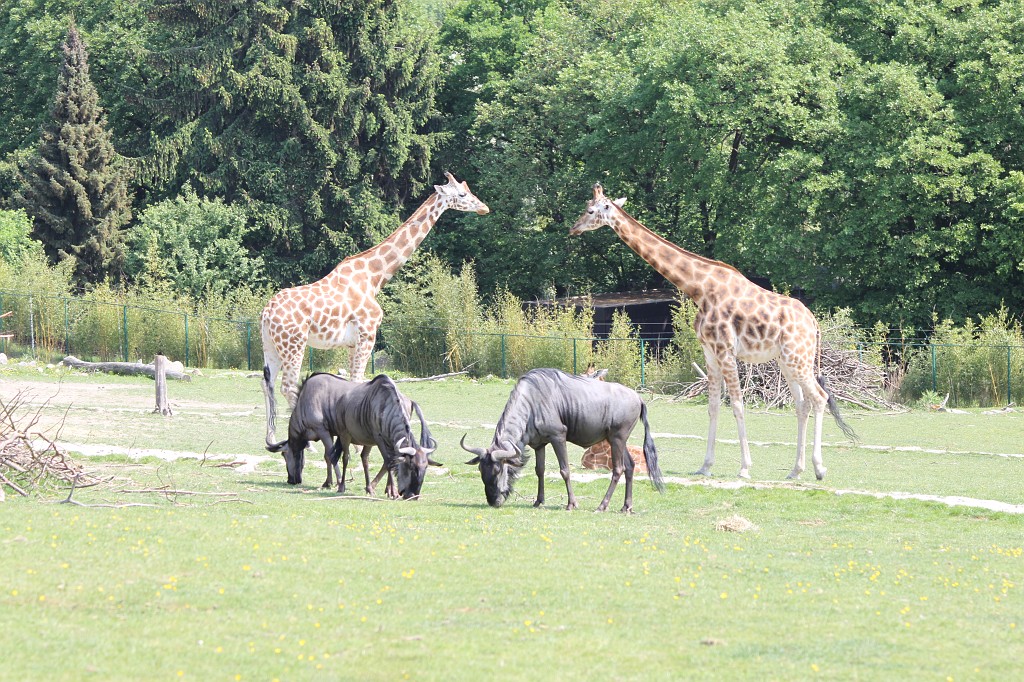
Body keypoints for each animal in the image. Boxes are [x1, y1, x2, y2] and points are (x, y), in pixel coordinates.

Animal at [260, 173, 489, 440]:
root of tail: (266, 313)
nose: (484, 207)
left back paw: (271, 438)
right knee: (288, 386)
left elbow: (351, 382)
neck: (374, 278)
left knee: (268, 383)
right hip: (294, 344)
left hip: (271, 346)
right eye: (462, 194)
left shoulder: (352, 342)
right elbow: (359, 381)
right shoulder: (368, 333)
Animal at [570, 183, 855, 480]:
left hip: (798, 358)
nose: (573, 229)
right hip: (787, 361)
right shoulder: (709, 351)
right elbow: (713, 406)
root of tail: (814, 323)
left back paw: (819, 468)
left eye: (590, 210)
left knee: (820, 398)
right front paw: (705, 466)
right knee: (802, 404)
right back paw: (795, 470)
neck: (700, 290)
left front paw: (744, 467)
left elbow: (737, 404)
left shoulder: (726, 350)